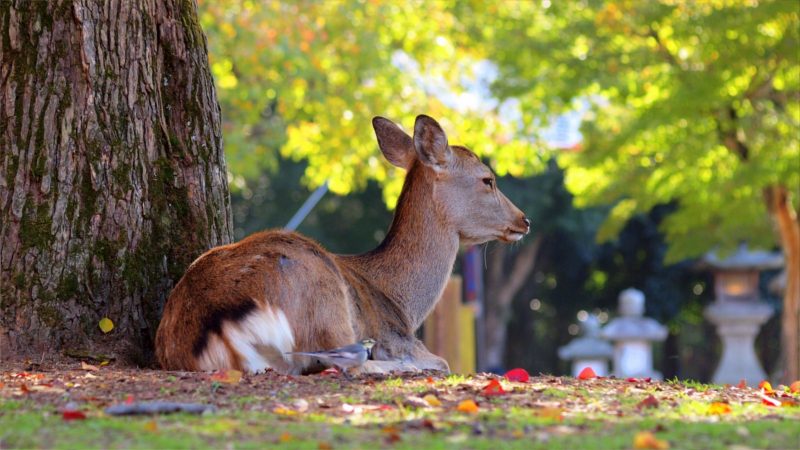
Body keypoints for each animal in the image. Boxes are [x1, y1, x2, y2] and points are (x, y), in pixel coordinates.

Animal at [156, 114, 532, 374]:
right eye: (488, 180)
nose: (524, 220)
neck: (402, 304)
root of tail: (216, 326)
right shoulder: (398, 337)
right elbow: (442, 361)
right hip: (325, 303)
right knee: (347, 362)